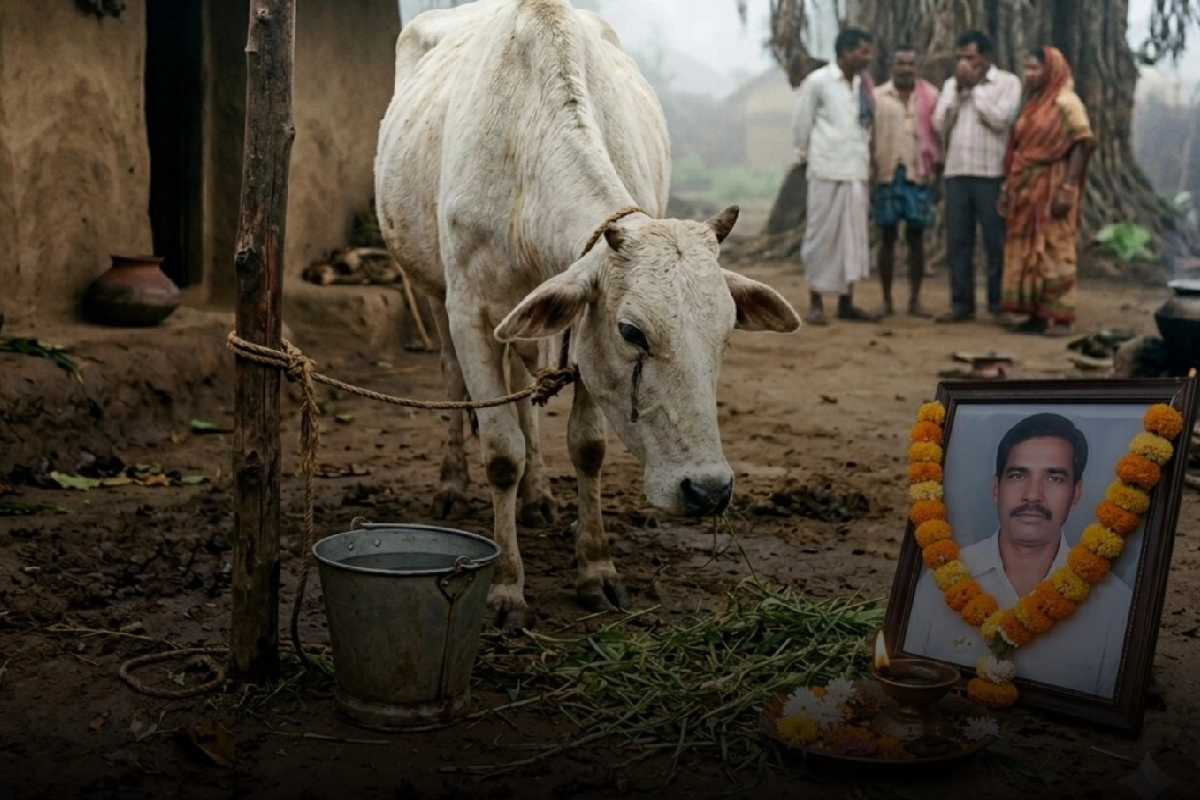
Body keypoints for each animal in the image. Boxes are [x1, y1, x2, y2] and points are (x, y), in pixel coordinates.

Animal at [375, 0, 801, 633]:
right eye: (631, 331)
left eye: (725, 334)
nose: (708, 491)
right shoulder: (470, 312)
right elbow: (499, 451)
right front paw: (507, 586)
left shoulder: (576, 328)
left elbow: (587, 446)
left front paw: (595, 568)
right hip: (431, 289)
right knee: (456, 382)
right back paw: (453, 484)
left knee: (524, 389)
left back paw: (538, 498)